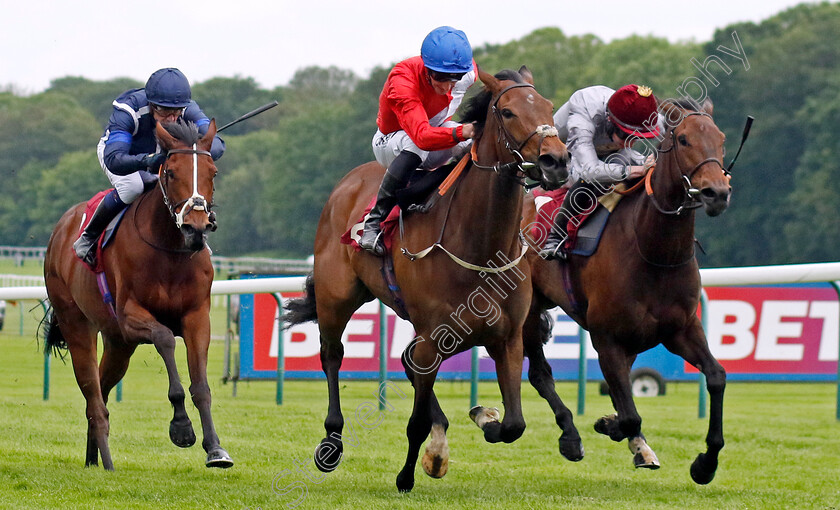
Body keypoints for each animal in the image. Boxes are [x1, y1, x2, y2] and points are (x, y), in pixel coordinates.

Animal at [41, 119, 231, 470]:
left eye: (213, 171)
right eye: (171, 172)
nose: (196, 228)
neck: (170, 252)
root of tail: (59, 230)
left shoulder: (197, 316)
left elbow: (201, 385)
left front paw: (215, 449)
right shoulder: (131, 316)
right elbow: (165, 339)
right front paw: (181, 427)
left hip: (118, 344)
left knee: (101, 392)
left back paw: (93, 461)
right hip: (77, 324)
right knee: (93, 396)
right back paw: (107, 462)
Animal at [284, 65, 572, 492]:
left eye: (549, 106)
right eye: (507, 112)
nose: (557, 161)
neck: (479, 248)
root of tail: (349, 182)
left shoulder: (507, 338)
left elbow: (514, 424)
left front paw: (484, 417)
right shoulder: (433, 339)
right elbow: (417, 422)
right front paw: (410, 473)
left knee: (403, 359)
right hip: (337, 298)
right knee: (332, 355)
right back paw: (331, 441)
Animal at [520, 97, 732, 484]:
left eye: (720, 138)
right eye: (683, 140)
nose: (717, 193)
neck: (654, 251)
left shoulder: (681, 328)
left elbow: (716, 377)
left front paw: (705, 463)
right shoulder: (606, 337)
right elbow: (630, 412)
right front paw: (611, 426)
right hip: (527, 310)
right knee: (540, 375)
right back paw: (571, 436)